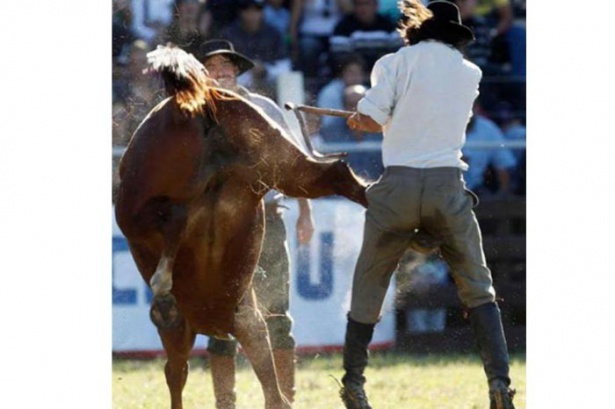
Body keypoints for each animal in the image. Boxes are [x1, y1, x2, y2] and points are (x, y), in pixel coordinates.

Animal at [113, 45, 368, 408]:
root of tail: (197, 105)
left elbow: (177, 373)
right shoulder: (246, 318)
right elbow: (270, 384)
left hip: (135, 207)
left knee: (172, 217)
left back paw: (163, 284)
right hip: (281, 162)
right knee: (336, 174)